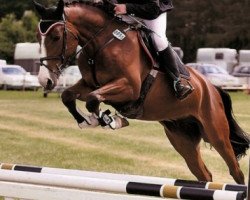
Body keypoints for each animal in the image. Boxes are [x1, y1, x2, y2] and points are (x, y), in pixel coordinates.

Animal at [33, 0, 250, 184]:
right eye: (38, 38)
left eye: (56, 37)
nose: (45, 80)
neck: (101, 43)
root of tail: (212, 88)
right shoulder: (89, 84)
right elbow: (69, 96)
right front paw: (89, 121)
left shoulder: (130, 88)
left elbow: (93, 100)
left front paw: (109, 120)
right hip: (182, 138)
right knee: (204, 174)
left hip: (216, 133)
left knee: (236, 171)